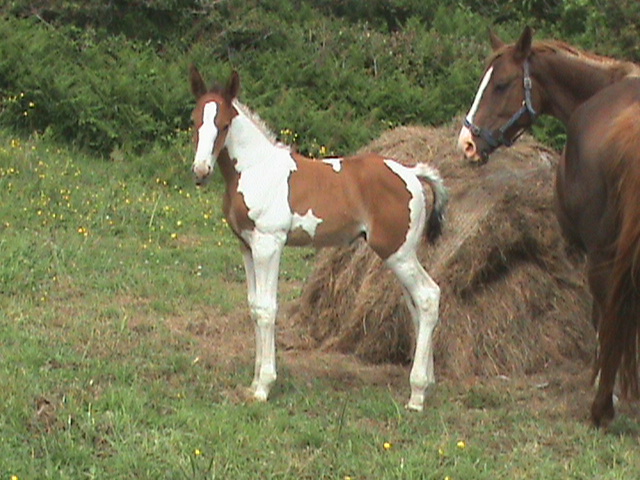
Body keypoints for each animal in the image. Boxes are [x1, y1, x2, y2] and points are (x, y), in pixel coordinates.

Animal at [191, 65, 450, 410]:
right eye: (194, 120)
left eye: (223, 124)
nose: (200, 170)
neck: (255, 168)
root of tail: (412, 173)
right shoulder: (247, 246)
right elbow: (254, 308)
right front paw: (255, 381)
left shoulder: (269, 244)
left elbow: (267, 309)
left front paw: (265, 385)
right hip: (404, 255)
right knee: (416, 305)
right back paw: (427, 384)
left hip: (398, 252)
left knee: (428, 296)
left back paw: (417, 394)